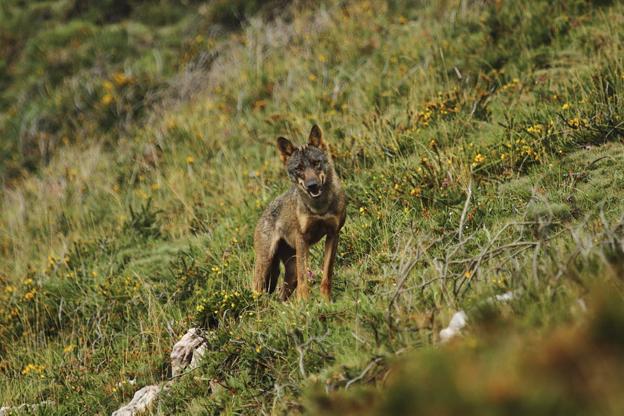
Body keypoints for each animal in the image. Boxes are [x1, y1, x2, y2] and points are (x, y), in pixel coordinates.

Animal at [255, 125, 352, 300]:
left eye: (316, 163)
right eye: (299, 168)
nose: (312, 185)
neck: (319, 208)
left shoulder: (333, 234)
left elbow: (327, 274)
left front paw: (325, 301)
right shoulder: (302, 238)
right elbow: (304, 279)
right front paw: (304, 302)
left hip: (289, 273)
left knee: (282, 297)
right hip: (264, 267)